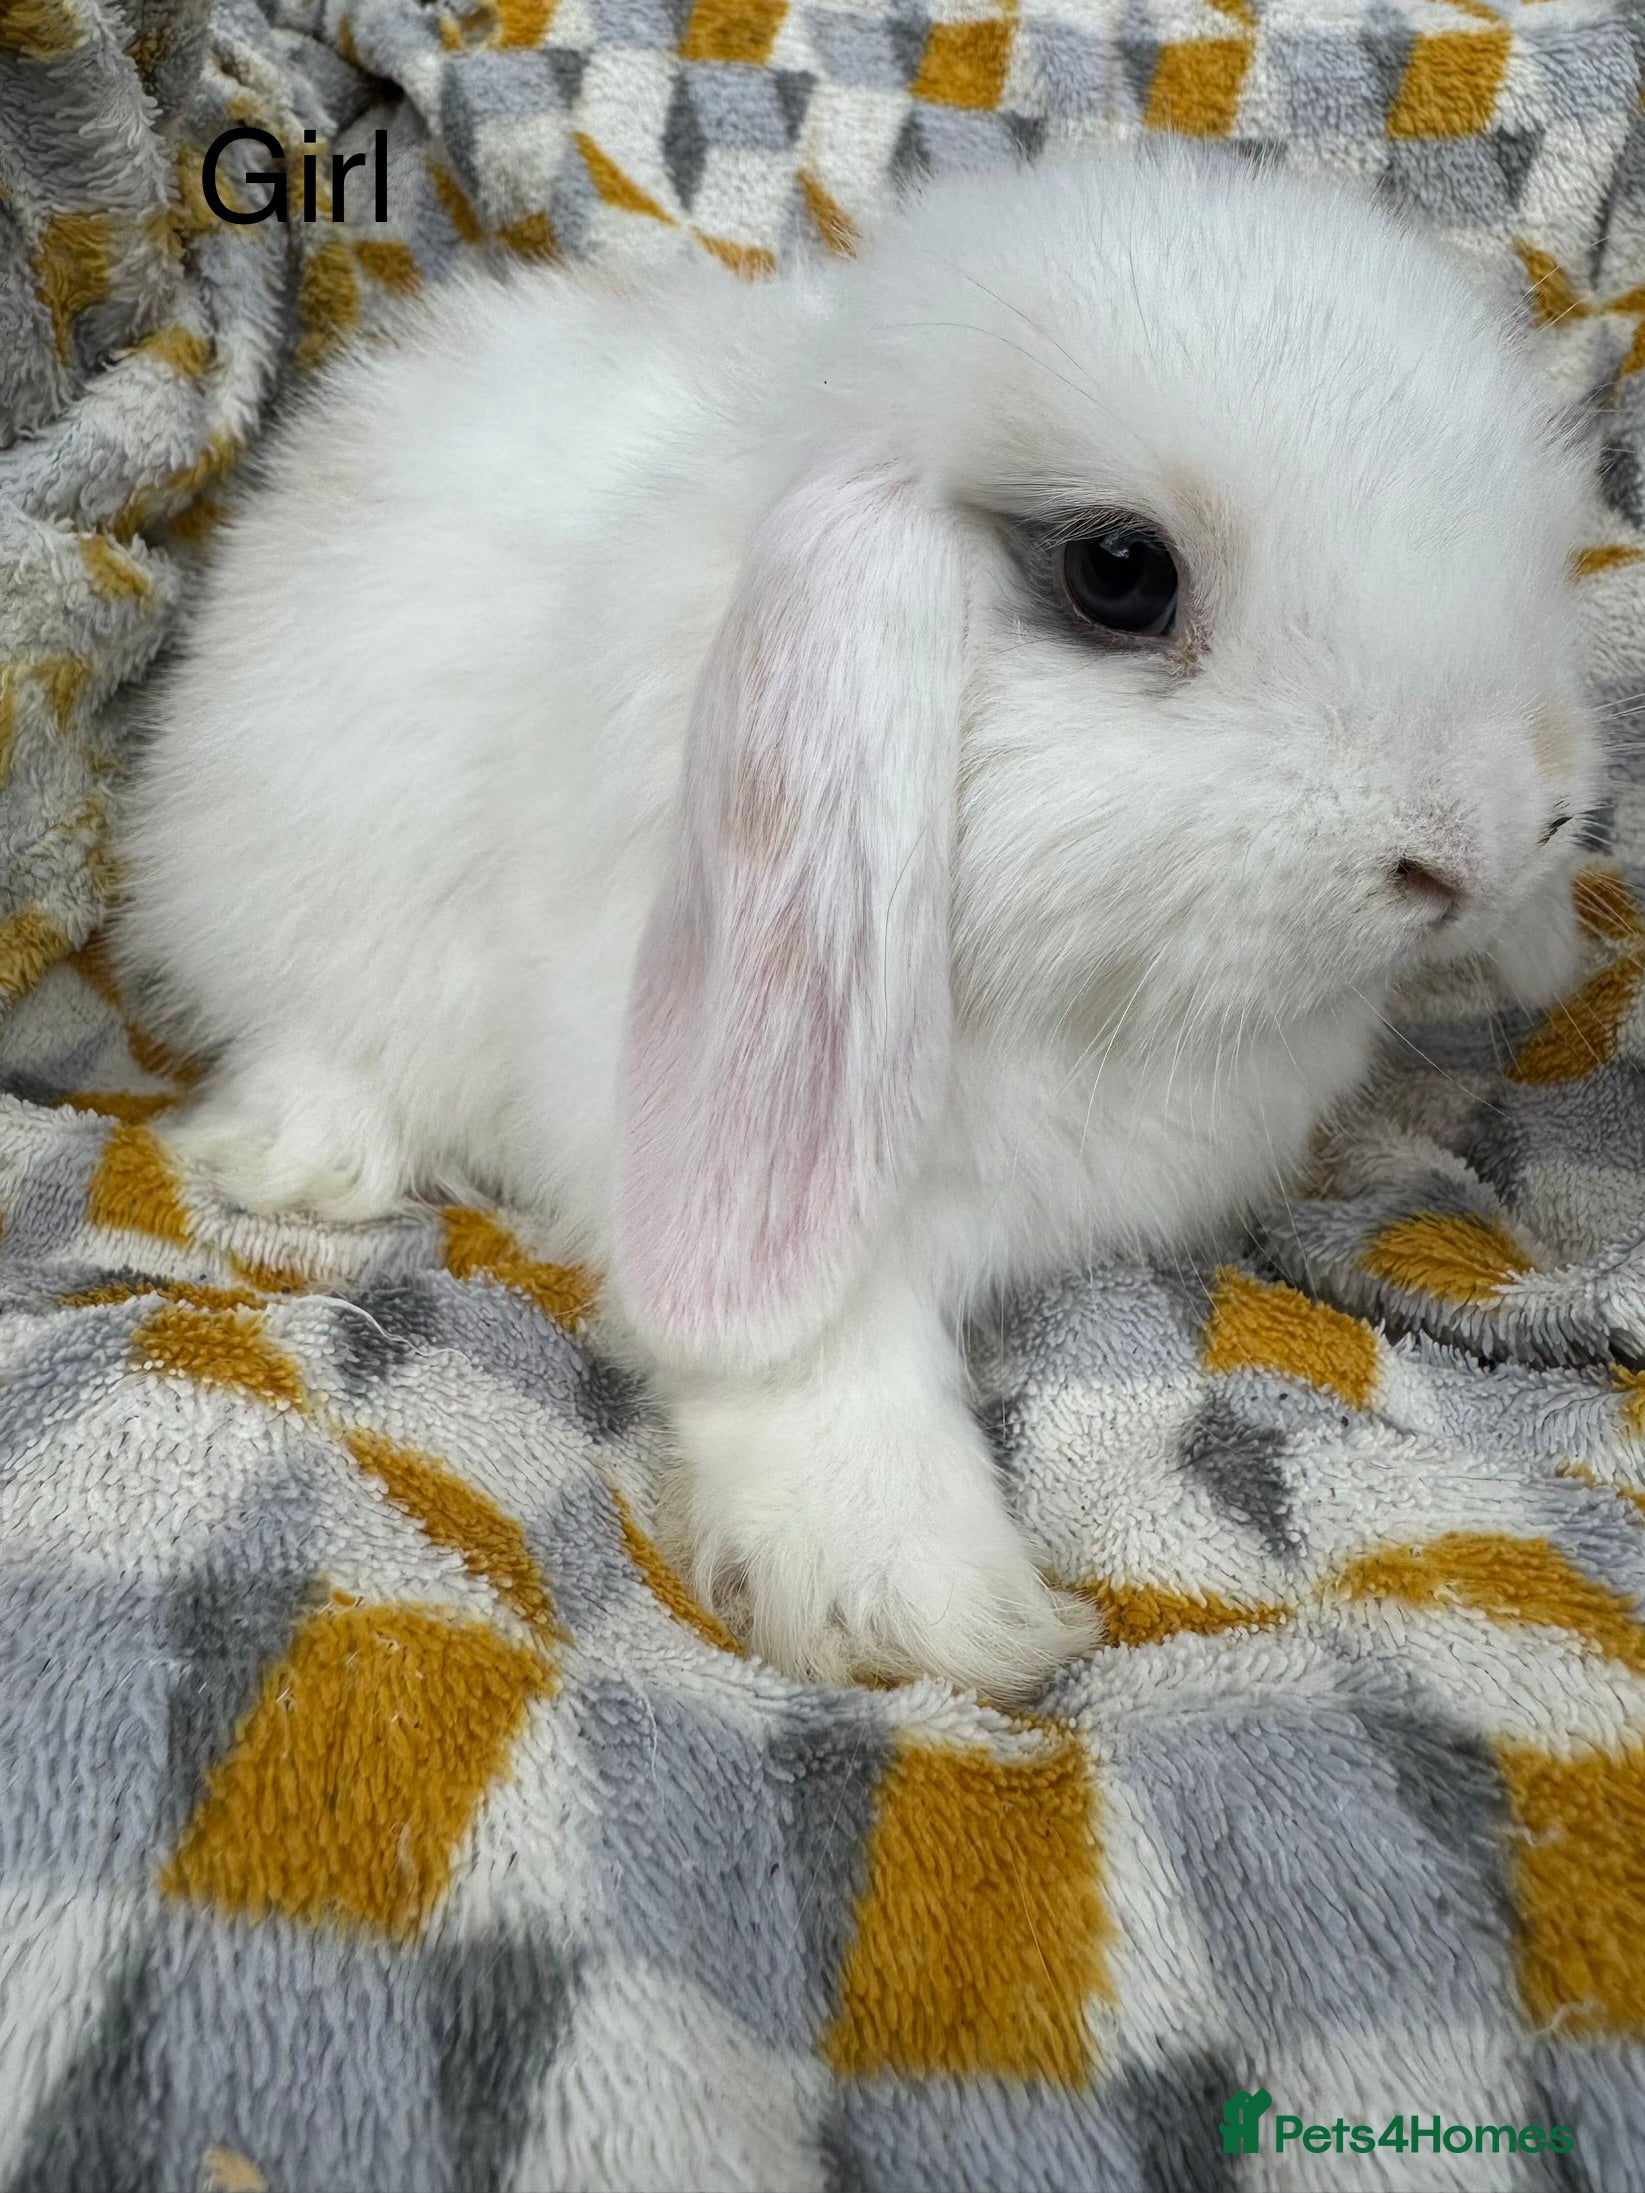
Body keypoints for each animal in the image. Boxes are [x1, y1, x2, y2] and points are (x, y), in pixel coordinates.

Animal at [117, 140, 1602, 1699]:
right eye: (1118, 573)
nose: (1487, 843)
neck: (1098, 1010)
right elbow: (816, 1361)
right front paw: (918, 1603)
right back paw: (310, 1164)